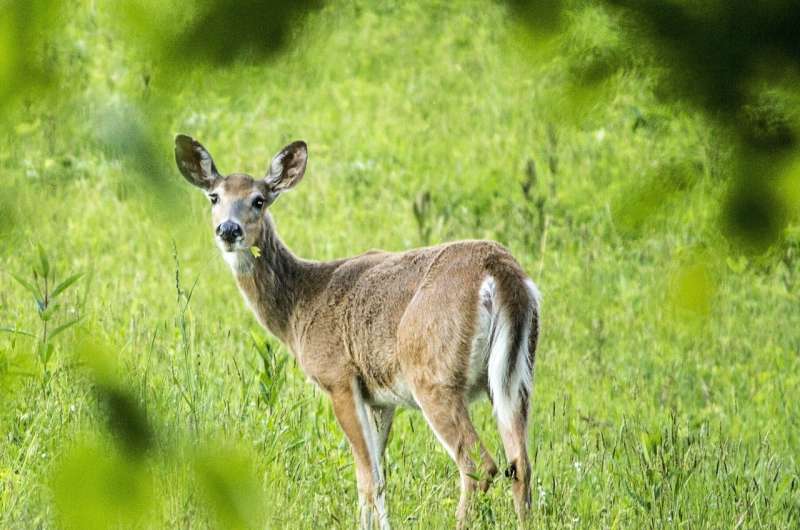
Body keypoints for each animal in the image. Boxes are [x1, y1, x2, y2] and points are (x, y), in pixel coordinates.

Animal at [172, 134, 540, 524]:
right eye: (214, 197)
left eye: (259, 199)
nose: (228, 229)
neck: (300, 306)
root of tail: (501, 271)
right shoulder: (381, 399)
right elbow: (379, 478)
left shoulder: (339, 378)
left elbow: (366, 479)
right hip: (515, 377)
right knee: (521, 465)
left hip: (434, 374)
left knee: (479, 465)